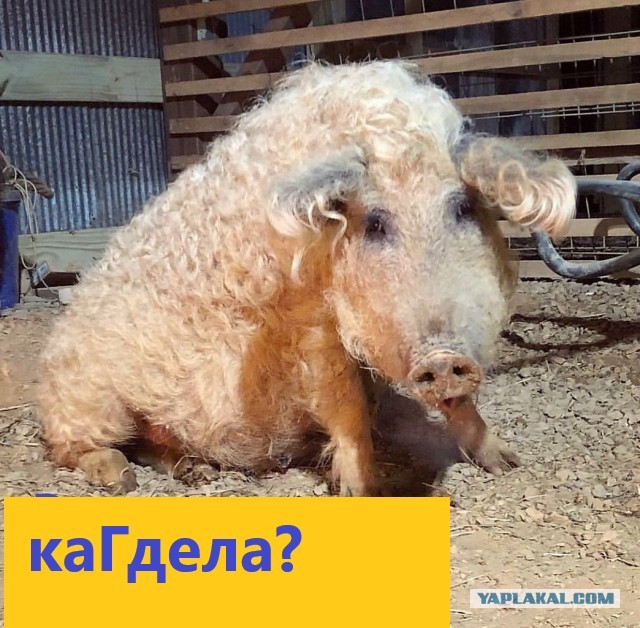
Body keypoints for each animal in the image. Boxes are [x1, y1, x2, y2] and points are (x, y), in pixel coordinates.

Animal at [38, 60, 576, 495]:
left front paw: (507, 464)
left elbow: (458, 403)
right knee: (79, 447)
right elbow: (345, 406)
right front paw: (363, 492)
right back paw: (121, 479)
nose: (443, 359)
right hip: (91, 399)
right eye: (375, 223)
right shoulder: (311, 325)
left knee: (152, 446)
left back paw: (199, 472)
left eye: (462, 207)